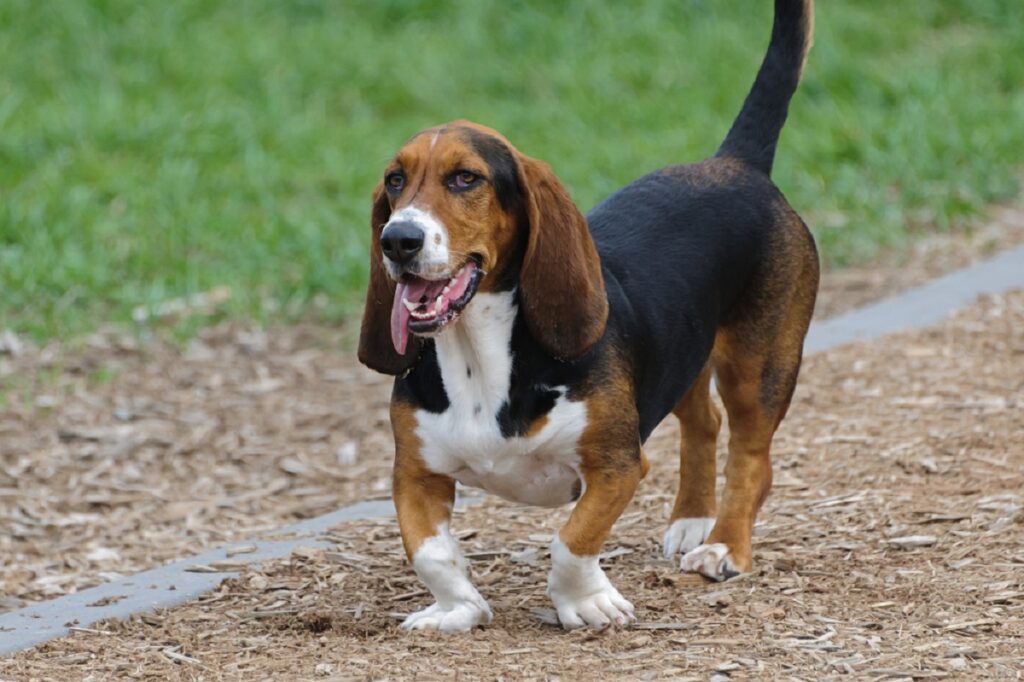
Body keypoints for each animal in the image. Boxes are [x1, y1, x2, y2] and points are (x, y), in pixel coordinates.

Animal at [358, 0, 815, 630]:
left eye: (465, 178)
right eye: (395, 180)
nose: (397, 239)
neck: (479, 354)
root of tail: (734, 163)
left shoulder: (616, 466)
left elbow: (571, 542)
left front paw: (586, 602)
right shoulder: (415, 475)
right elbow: (429, 553)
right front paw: (458, 609)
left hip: (757, 367)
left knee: (751, 456)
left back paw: (724, 545)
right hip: (682, 354)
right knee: (704, 424)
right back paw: (691, 521)